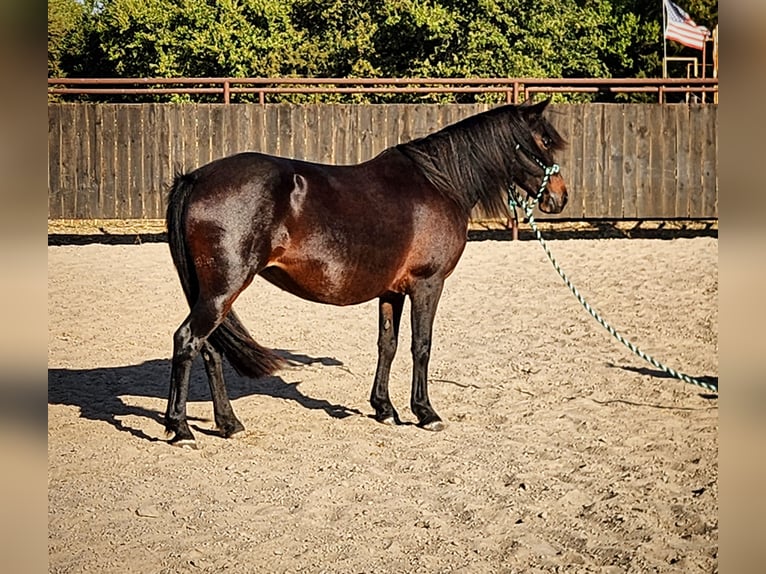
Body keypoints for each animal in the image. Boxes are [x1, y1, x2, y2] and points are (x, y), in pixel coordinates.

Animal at [165, 100, 568, 450]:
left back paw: (228, 424)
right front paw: (425, 412)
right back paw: (181, 429)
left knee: (209, 349)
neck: (440, 184)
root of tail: (196, 178)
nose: (560, 197)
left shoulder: (392, 291)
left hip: (211, 292)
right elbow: (421, 346)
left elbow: (387, 345)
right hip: (223, 289)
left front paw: (384, 408)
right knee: (187, 341)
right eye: (546, 141)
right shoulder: (428, 283)